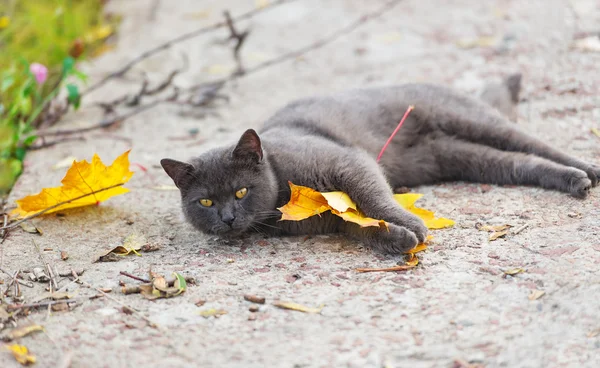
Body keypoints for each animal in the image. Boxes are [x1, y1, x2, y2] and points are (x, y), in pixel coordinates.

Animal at [161, 77, 600, 253]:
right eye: (205, 202)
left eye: (241, 191)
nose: (229, 219)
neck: (284, 192)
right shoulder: (329, 219)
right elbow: (360, 227)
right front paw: (398, 240)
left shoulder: (347, 162)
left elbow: (374, 198)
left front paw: (412, 225)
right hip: (457, 156)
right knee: (519, 163)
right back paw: (574, 180)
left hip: (468, 119)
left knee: (532, 142)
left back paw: (587, 172)